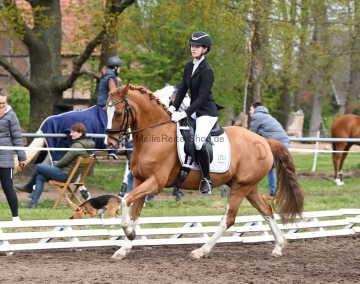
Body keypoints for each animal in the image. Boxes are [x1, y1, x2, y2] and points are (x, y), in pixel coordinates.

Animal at [105, 82, 304, 260]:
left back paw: (201, 251)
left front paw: (128, 231)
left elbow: (125, 200)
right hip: (249, 187)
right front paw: (124, 247)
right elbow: (135, 213)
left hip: (240, 187)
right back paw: (278, 246)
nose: (110, 144)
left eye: (119, 113)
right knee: (266, 211)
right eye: (105, 110)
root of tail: (264, 141)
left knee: (228, 219)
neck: (154, 135)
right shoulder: (140, 180)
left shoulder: (155, 182)